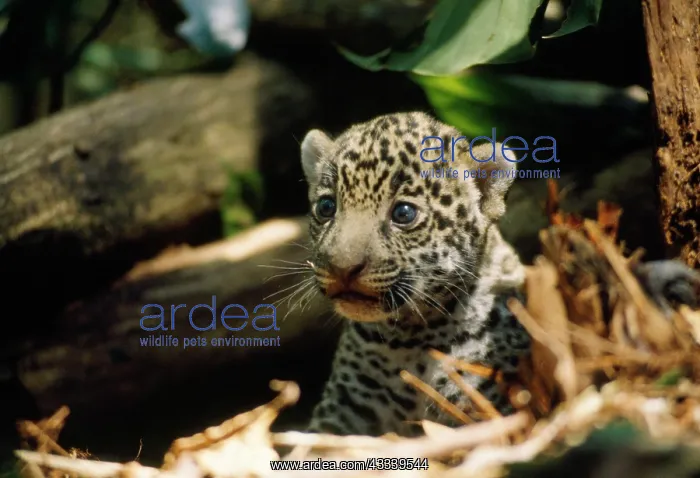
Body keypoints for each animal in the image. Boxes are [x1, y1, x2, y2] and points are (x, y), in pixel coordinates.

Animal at [297, 111, 700, 437]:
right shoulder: (343, 409)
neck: (409, 339)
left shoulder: (487, 404)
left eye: (404, 214)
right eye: (326, 207)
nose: (341, 268)